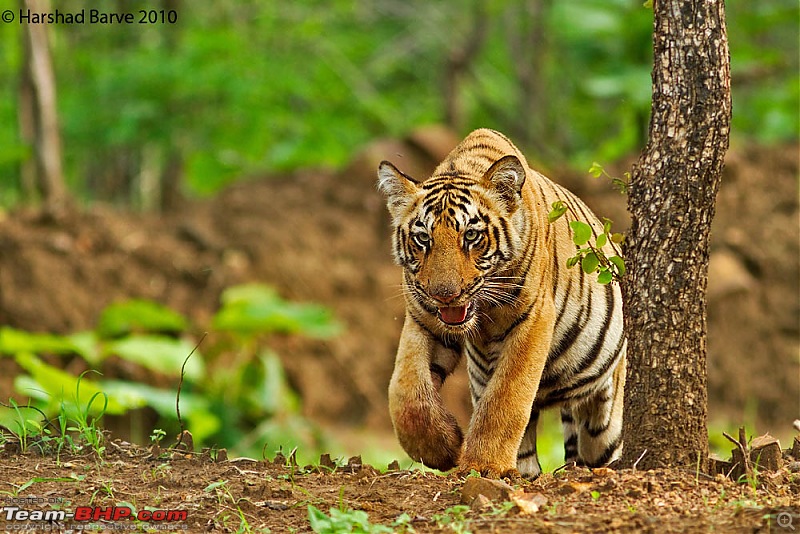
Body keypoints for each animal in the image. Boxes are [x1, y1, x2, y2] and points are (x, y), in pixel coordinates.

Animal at [378, 127, 628, 480]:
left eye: (471, 236)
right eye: (423, 238)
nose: (445, 294)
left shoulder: (533, 319)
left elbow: (506, 397)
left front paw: (484, 465)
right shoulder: (422, 319)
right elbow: (405, 391)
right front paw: (443, 448)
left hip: (603, 423)